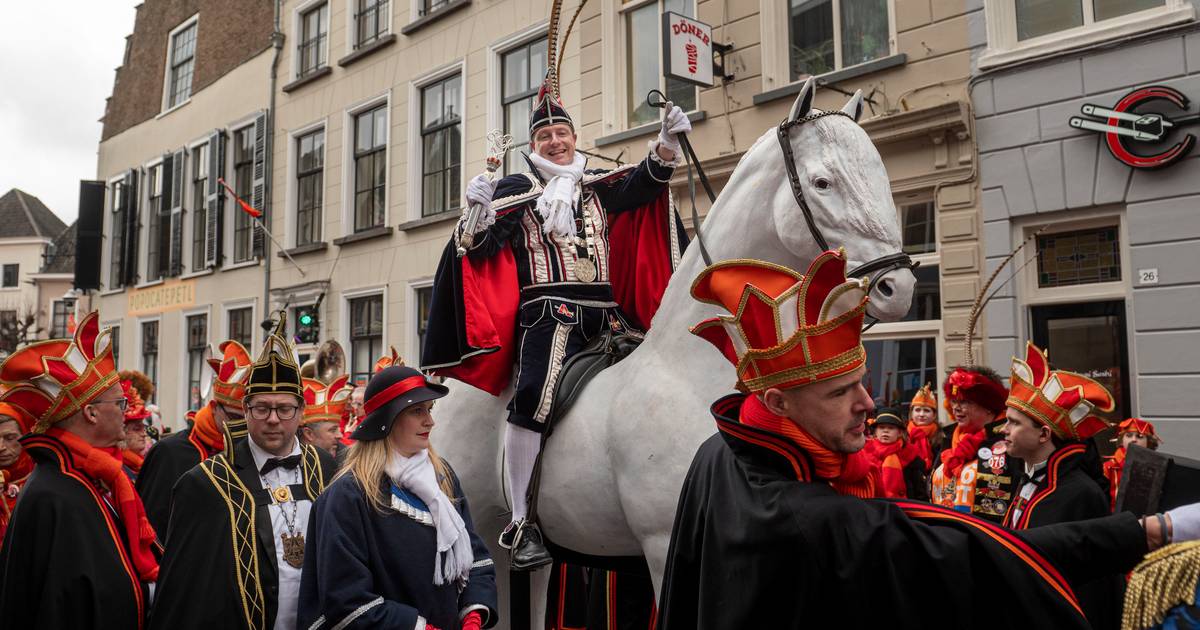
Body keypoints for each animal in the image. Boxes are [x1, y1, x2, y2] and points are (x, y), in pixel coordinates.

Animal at [436, 78, 912, 624]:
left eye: (880, 173)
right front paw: (478, 207)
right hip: (484, 534)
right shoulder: (664, 545)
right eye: (822, 183)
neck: (691, 374)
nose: (898, 285)